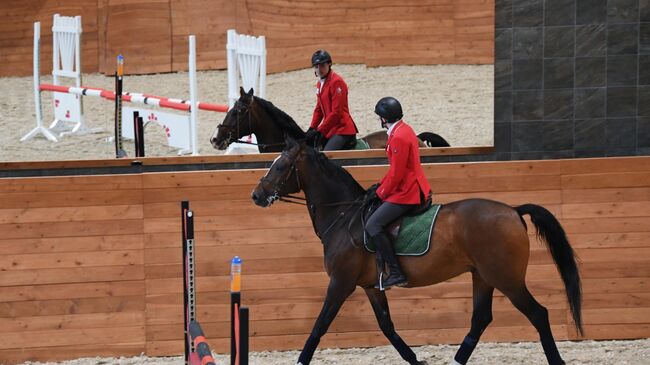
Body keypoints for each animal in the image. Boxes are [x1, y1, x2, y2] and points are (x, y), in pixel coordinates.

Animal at [249, 137, 584, 364]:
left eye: (280, 165)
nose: (256, 195)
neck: (344, 215)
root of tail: (513, 211)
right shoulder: (370, 286)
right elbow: (387, 327)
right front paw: (414, 360)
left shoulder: (340, 283)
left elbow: (319, 326)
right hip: (483, 276)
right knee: (480, 319)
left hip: (506, 279)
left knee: (538, 314)